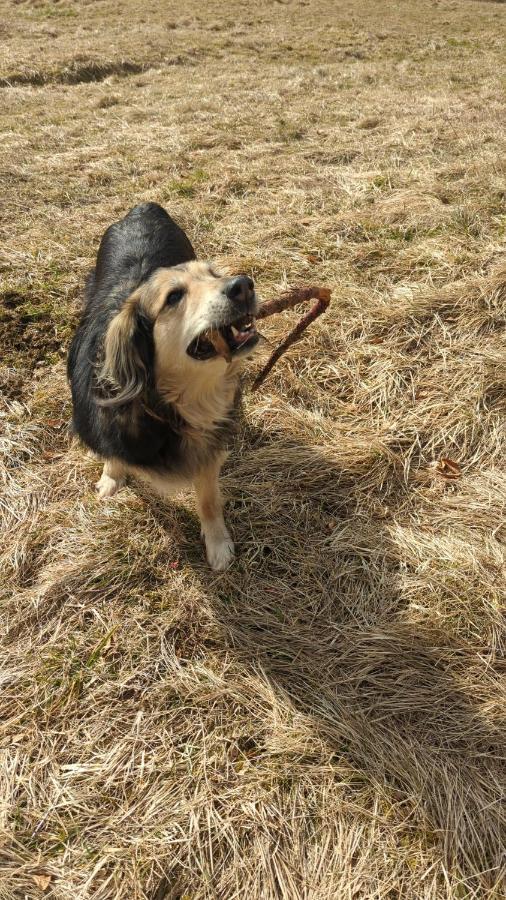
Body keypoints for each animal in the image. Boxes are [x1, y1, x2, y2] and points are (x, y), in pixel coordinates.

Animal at [67, 204, 258, 568]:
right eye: (174, 297)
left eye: (213, 274)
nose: (243, 285)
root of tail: (142, 206)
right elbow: (112, 453)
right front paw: (111, 478)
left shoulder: (208, 447)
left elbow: (208, 498)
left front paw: (217, 543)